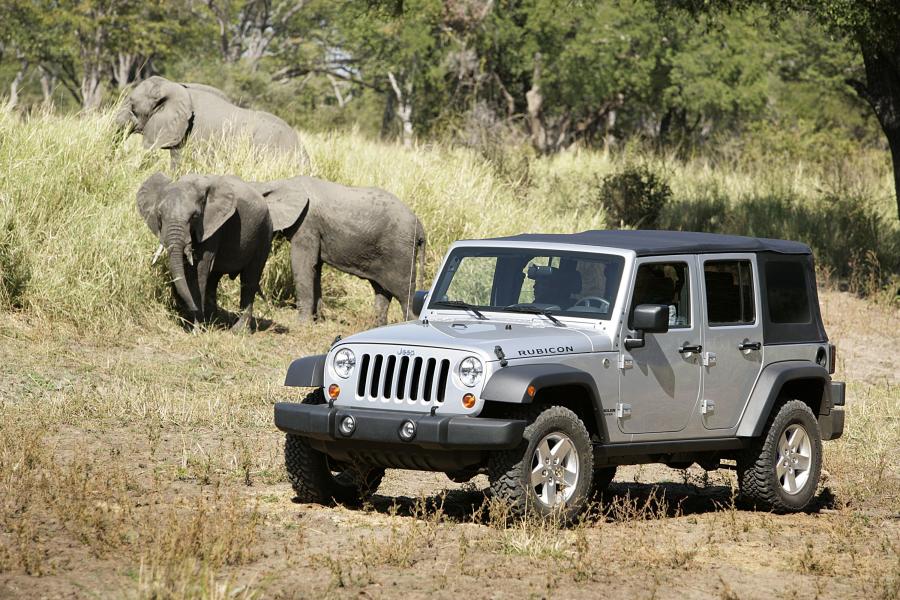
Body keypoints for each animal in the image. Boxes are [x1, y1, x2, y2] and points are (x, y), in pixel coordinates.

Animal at [135, 171, 272, 332]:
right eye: (159, 216)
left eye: (194, 217)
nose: (191, 309)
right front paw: (195, 323)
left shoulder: (212, 226)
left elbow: (199, 269)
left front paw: (196, 328)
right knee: (214, 277)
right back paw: (214, 321)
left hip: (264, 232)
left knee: (249, 278)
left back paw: (238, 331)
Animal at [250, 176, 426, 326]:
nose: (268, 308)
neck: (277, 183)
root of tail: (421, 228)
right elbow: (315, 268)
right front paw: (318, 322)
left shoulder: (307, 224)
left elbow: (303, 265)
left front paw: (302, 325)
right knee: (382, 292)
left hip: (401, 251)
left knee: (405, 297)